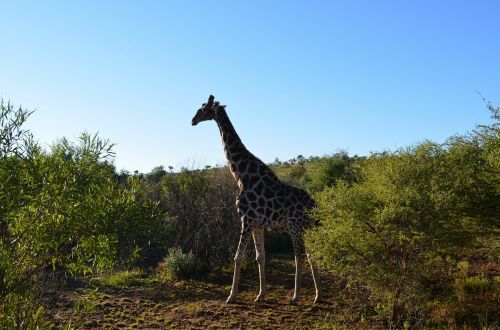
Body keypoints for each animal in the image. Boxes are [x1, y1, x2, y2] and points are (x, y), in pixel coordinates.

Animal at [189, 93, 322, 304]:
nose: (193, 120)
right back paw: (317, 295)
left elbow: (237, 257)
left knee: (299, 256)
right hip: (307, 228)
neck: (241, 176)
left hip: (295, 227)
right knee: (311, 254)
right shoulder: (258, 224)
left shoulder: (246, 219)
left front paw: (231, 296)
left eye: (202, 108)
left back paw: (295, 297)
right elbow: (261, 257)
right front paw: (261, 294)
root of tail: (314, 207)